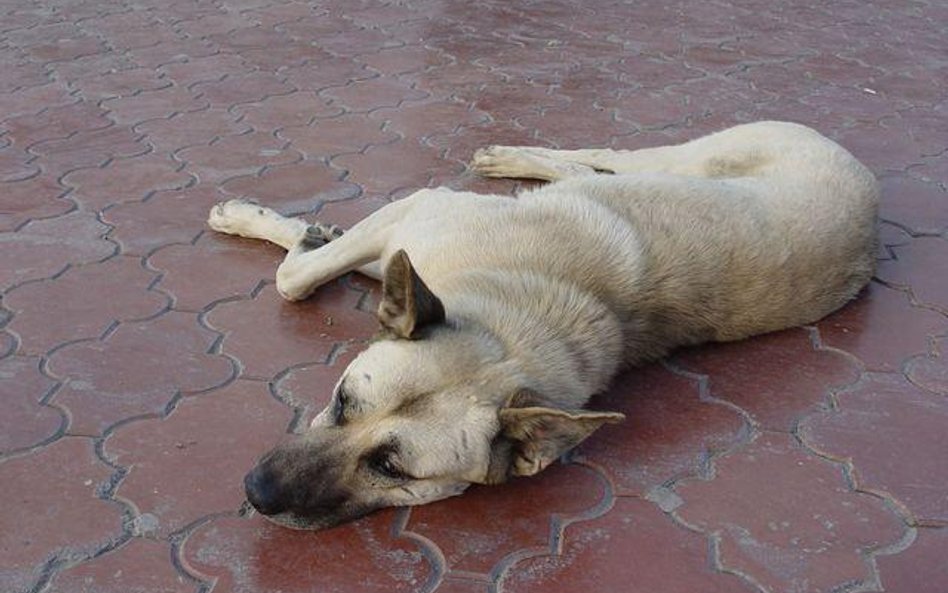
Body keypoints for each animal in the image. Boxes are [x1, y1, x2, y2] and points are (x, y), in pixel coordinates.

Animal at [209, 119, 880, 528]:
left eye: (391, 469)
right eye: (344, 401)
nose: (255, 492)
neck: (512, 316)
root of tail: (866, 184)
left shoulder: (413, 229)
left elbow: (294, 275)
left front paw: (297, 233)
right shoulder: (415, 219)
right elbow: (304, 271)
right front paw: (279, 225)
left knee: (600, 169)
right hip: (682, 162)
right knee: (601, 163)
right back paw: (511, 158)